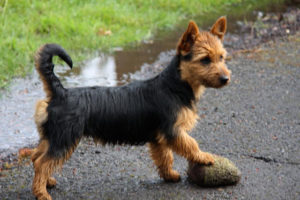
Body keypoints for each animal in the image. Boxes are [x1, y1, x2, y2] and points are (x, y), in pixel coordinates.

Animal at [31, 17, 231, 200]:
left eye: (222, 57)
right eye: (205, 60)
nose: (225, 78)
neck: (175, 85)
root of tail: (60, 93)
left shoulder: (159, 138)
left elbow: (165, 157)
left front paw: (170, 175)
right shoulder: (173, 131)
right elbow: (191, 144)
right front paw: (204, 157)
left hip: (52, 137)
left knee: (36, 158)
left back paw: (47, 183)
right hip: (64, 139)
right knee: (42, 163)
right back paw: (42, 193)